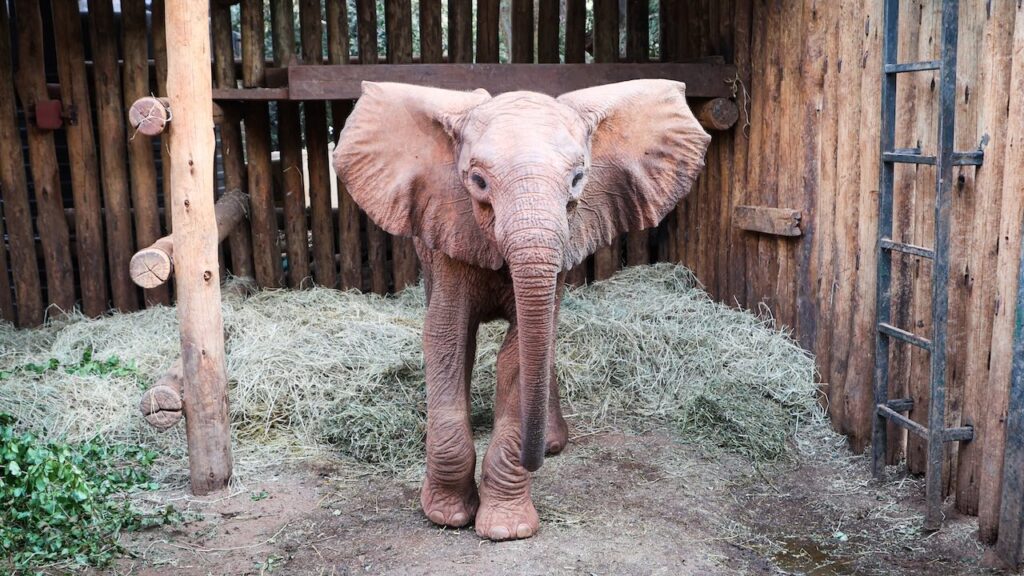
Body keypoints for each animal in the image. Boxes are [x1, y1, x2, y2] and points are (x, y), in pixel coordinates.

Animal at [333, 79, 711, 540]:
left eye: (578, 179)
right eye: (477, 180)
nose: (535, 462)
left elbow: (519, 352)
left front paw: (506, 529)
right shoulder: (449, 228)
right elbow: (446, 339)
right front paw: (446, 516)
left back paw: (550, 442)